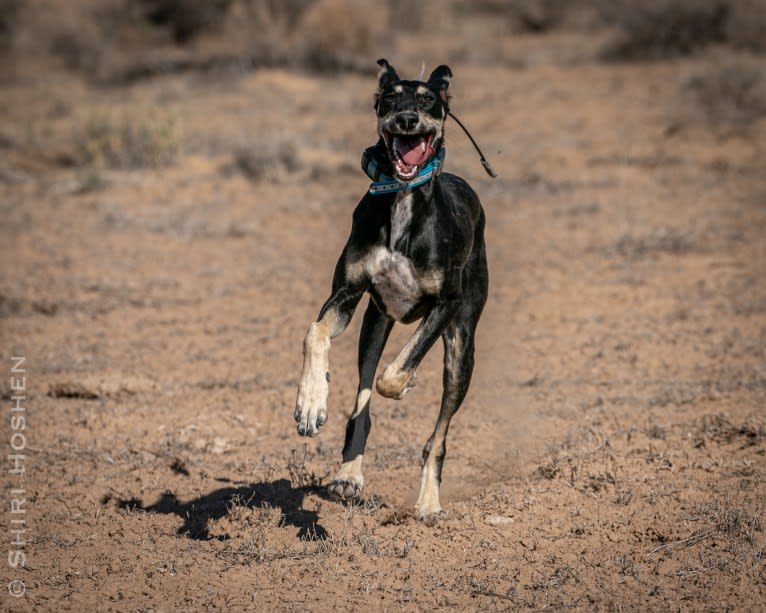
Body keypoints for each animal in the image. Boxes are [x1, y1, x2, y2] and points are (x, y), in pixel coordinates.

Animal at [296, 57, 488, 520]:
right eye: (389, 97)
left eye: (428, 99)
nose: (407, 119)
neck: (403, 199)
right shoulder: (347, 295)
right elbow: (315, 332)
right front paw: (311, 401)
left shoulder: (447, 303)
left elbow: (396, 373)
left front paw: (405, 383)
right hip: (374, 324)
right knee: (361, 406)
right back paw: (349, 474)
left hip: (462, 347)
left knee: (437, 435)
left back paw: (429, 501)